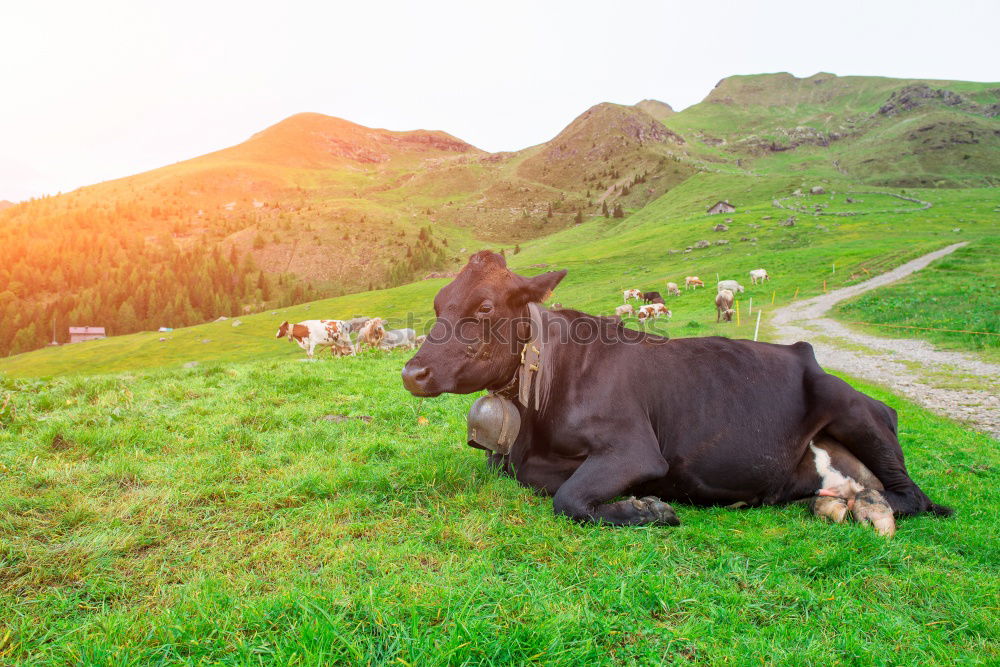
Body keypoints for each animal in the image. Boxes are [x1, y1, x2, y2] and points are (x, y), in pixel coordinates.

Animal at [400, 250, 952, 536]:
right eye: (438, 303)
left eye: (485, 306)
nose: (412, 372)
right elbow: (535, 479)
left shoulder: (635, 449)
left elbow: (568, 497)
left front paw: (648, 509)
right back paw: (833, 503)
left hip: (854, 410)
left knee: (913, 496)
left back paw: (861, 508)